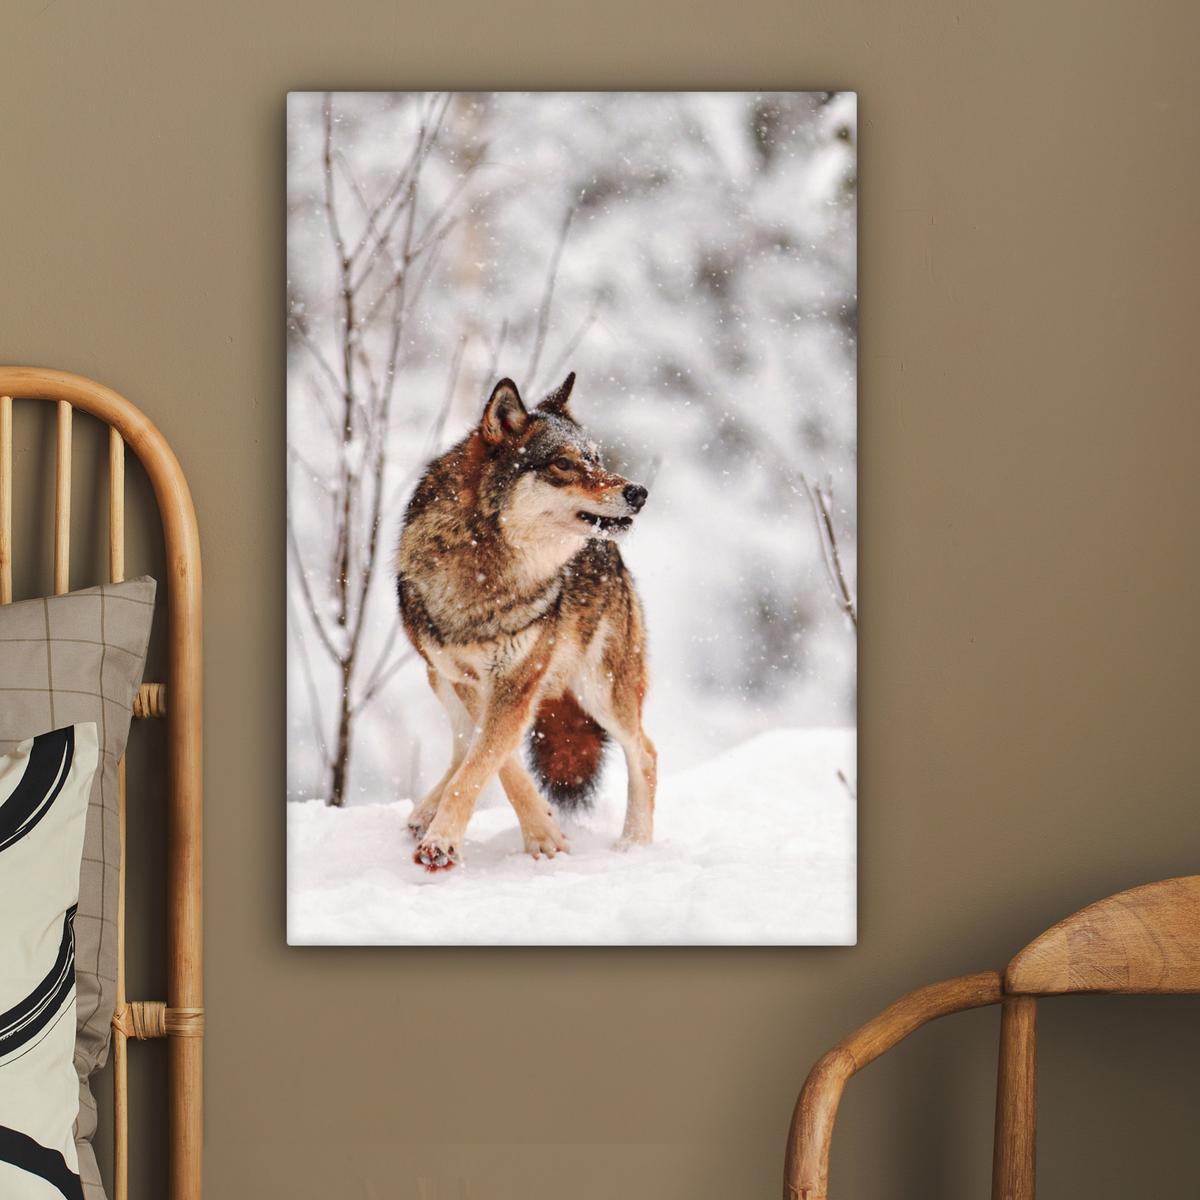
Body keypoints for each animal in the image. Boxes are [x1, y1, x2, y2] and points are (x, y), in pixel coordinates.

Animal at [395, 372, 657, 871]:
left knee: (646, 753)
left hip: (601, 690)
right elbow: (494, 762)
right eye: (563, 464)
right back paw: (424, 811)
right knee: (461, 744)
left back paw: (635, 846)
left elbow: (484, 763)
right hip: (438, 677)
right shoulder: (469, 679)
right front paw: (542, 831)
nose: (638, 492)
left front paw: (445, 842)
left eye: (596, 459)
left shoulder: (516, 681)